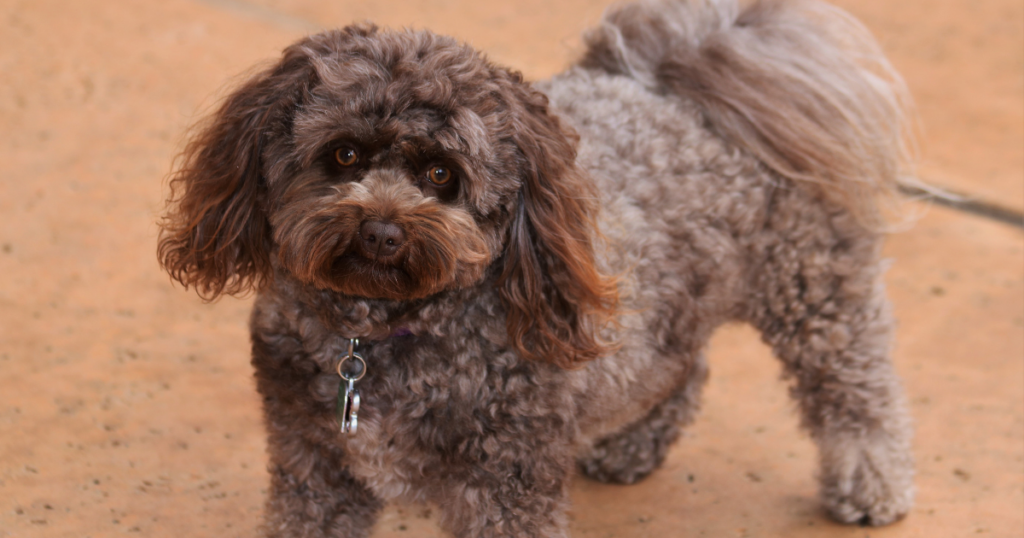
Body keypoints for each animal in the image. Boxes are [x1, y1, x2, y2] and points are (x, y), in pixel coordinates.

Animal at [161, 0, 921, 532]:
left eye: (442, 174)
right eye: (344, 154)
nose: (381, 231)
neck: (378, 338)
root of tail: (687, 76)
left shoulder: (506, 484)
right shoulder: (315, 467)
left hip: (816, 293)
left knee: (855, 388)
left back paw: (872, 481)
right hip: (672, 306)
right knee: (684, 368)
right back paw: (633, 444)